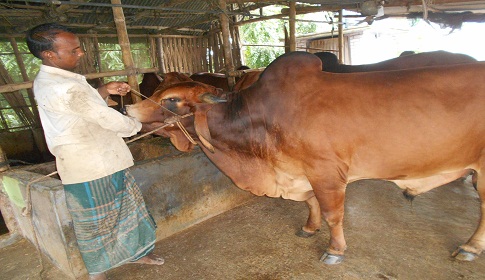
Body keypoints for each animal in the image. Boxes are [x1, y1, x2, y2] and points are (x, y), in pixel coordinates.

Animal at [126, 52, 484, 264]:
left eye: (172, 100)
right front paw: (309, 228)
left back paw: (469, 248)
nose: (128, 108)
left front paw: (334, 250)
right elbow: (310, 203)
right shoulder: (299, 172)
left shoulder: (326, 173)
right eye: (158, 91)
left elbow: (333, 214)